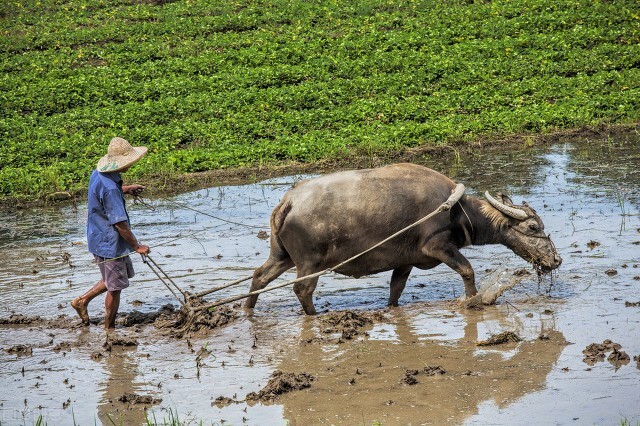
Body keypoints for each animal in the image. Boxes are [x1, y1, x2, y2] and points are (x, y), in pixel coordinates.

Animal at [245, 163, 560, 312]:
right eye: (533, 227)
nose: (555, 259)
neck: (456, 210)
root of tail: (288, 202)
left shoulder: (405, 261)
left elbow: (396, 289)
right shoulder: (438, 247)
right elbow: (467, 270)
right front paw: (472, 300)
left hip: (282, 256)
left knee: (260, 276)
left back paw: (249, 309)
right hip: (309, 263)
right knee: (302, 289)